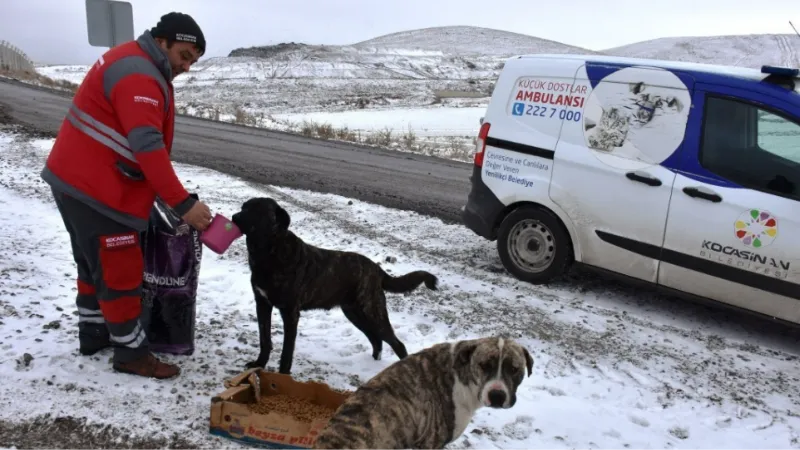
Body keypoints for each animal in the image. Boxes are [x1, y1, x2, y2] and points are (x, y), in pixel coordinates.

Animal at [231, 199, 438, 374]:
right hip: (355, 313)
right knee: (376, 340)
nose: (234, 217)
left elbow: (286, 352)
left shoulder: (290, 313)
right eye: (243, 207)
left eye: (256, 209)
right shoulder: (262, 304)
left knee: (396, 344)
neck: (269, 252)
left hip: (373, 312)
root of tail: (376, 269)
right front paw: (259, 364)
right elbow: (264, 339)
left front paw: (282, 376)